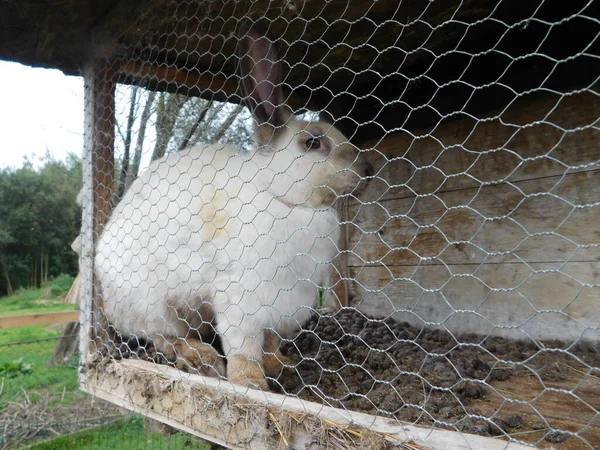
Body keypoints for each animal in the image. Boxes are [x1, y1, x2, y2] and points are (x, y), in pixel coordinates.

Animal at [94, 25, 372, 390]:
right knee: (164, 338)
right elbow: (244, 348)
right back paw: (200, 358)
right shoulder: (242, 300)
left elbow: (270, 344)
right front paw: (250, 382)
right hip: (155, 306)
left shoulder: (281, 306)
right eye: (313, 142)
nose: (368, 170)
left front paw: (283, 366)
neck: (280, 196)